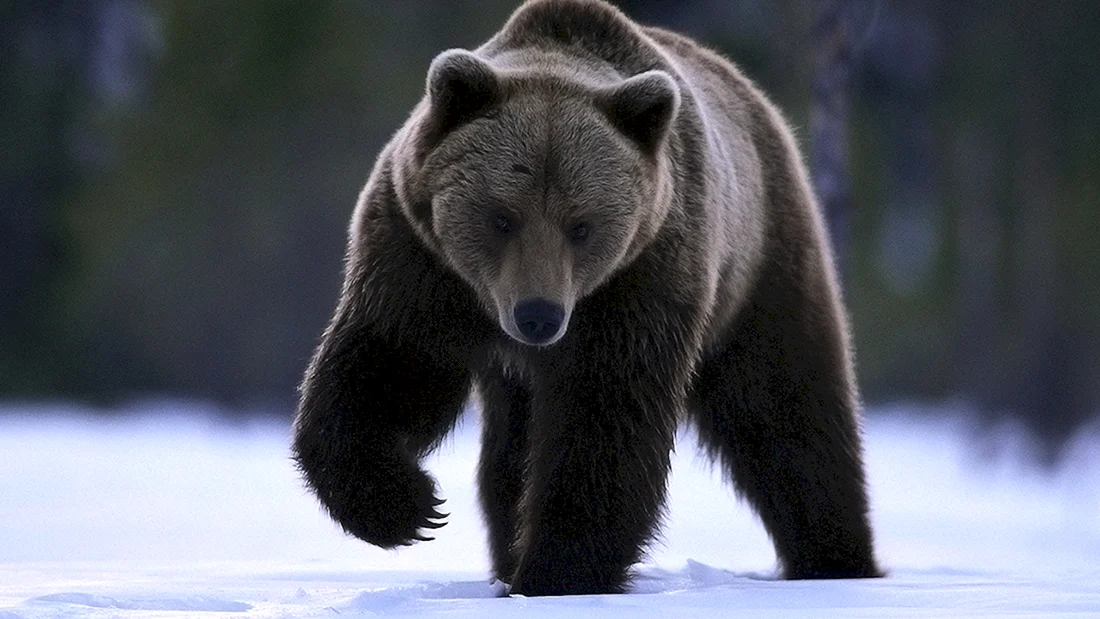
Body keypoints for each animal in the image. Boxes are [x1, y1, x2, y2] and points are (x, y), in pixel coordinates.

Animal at [292, 0, 881, 596]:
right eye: (502, 217)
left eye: (581, 225)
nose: (538, 316)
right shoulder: (419, 261)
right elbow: (391, 367)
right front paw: (408, 507)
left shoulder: (640, 281)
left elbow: (604, 417)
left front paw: (557, 572)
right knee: (509, 453)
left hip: (760, 264)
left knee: (787, 410)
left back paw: (835, 557)